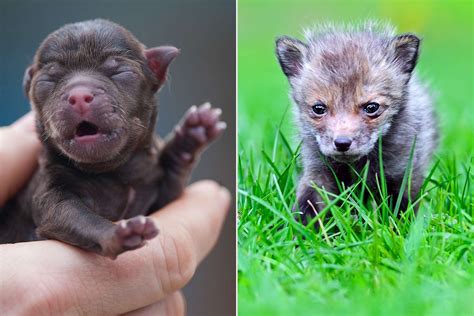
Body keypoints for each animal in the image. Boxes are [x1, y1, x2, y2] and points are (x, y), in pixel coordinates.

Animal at [0, 19, 226, 260]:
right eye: (49, 80)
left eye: (118, 72)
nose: (79, 95)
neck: (112, 173)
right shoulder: (48, 193)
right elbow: (74, 216)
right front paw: (119, 232)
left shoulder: (156, 193)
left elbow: (171, 184)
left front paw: (192, 135)